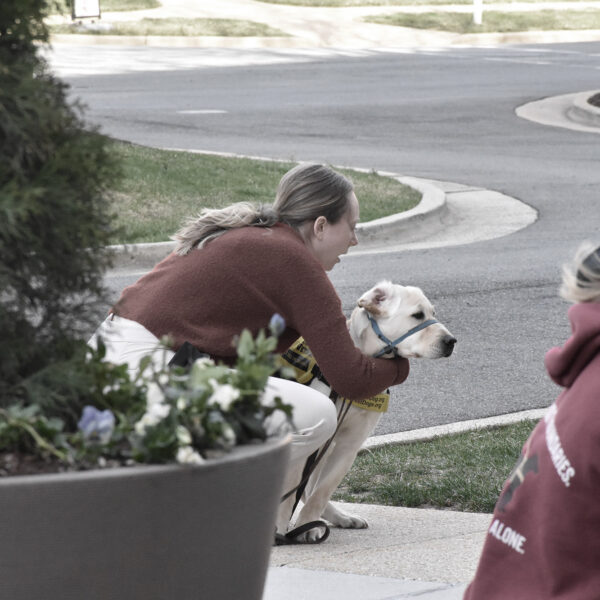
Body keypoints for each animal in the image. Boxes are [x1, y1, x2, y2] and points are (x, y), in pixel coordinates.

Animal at [276, 282, 454, 544]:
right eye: (417, 315)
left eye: (433, 313)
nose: (451, 341)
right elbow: (289, 495)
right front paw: (279, 531)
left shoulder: (349, 444)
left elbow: (321, 490)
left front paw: (307, 525)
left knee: (310, 488)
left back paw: (338, 517)